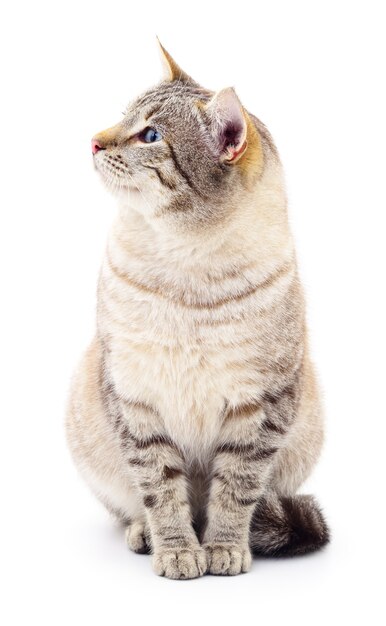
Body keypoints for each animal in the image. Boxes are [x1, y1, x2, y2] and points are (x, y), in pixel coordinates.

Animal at [65, 41, 328, 576]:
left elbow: (235, 490)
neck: (186, 271)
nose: (93, 142)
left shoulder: (261, 406)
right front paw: (178, 550)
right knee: (133, 507)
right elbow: (161, 488)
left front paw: (224, 548)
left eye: (150, 135)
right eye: (122, 116)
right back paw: (144, 534)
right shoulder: (135, 398)